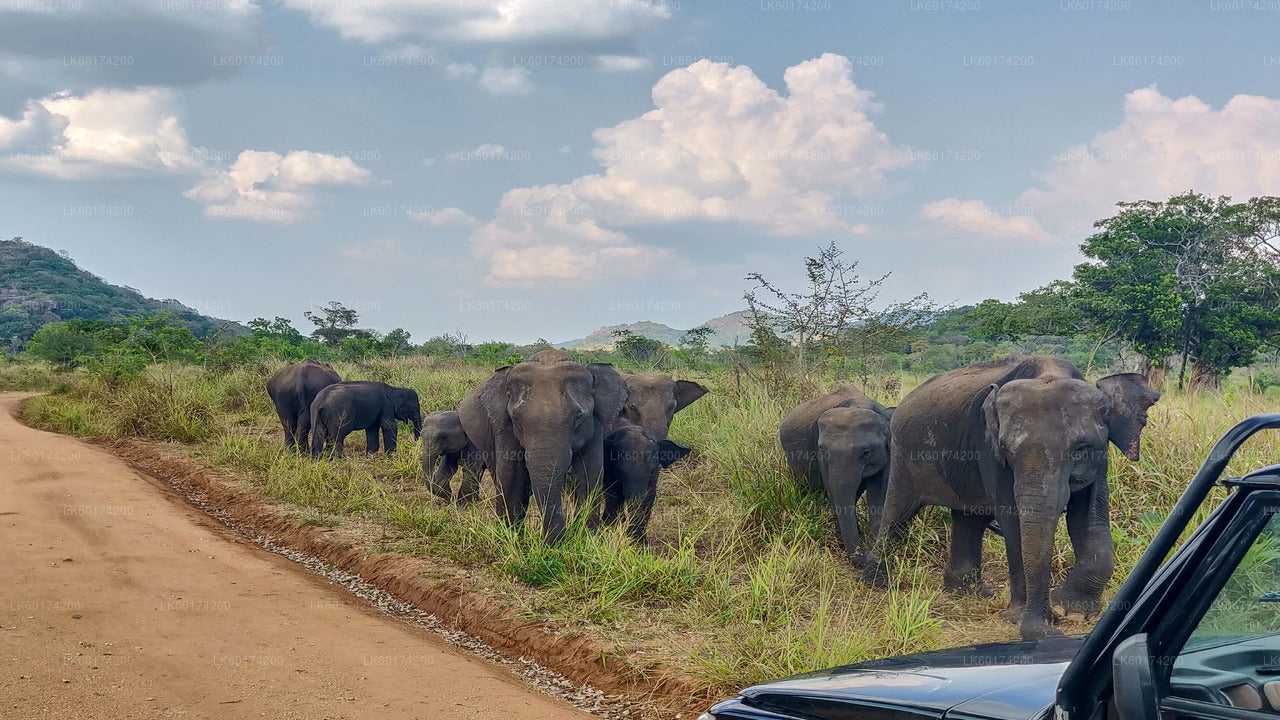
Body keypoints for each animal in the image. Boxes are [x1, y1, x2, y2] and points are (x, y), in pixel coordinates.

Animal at [458, 345, 627, 540]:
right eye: (516, 418)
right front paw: (513, 537)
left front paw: (586, 537)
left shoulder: (596, 424)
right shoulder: (504, 427)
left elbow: (589, 474)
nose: (549, 542)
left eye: (578, 417)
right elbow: (511, 474)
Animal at [773, 386, 896, 561]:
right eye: (824, 450)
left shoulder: (887, 452)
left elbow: (879, 495)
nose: (863, 556)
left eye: (866, 452)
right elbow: (833, 491)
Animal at [860, 351, 1162, 632]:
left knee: (969, 518)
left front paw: (1072, 612)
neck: (1048, 373)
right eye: (1006, 450)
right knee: (898, 514)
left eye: (1082, 448)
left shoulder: (1100, 457)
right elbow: (1012, 517)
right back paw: (876, 584)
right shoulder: (989, 450)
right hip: (904, 454)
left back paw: (967, 593)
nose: (1047, 625)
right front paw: (1021, 618)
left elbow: (1091, 514)